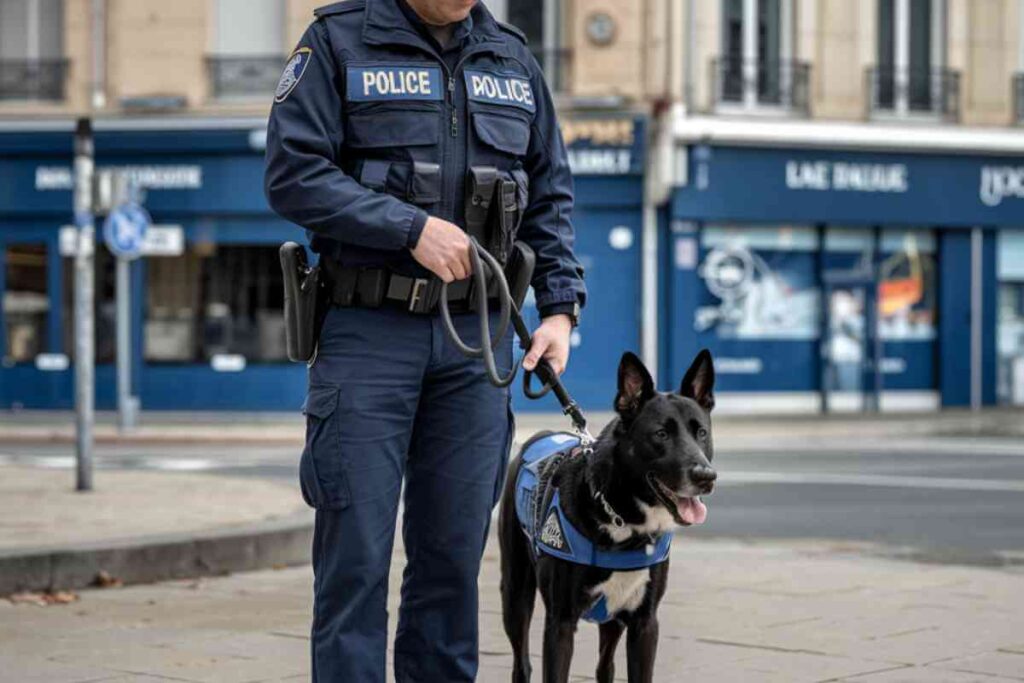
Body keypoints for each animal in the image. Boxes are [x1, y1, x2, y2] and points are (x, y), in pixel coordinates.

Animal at [499, 350, 716, 679]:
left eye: (701, 432)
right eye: (661, 434)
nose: (706, 476)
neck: (623, 521)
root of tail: (542, 435)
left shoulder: (644, 623)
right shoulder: (560, 623)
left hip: (612, 621)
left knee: (605, 667)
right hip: (515, 594)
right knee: (521, 663)